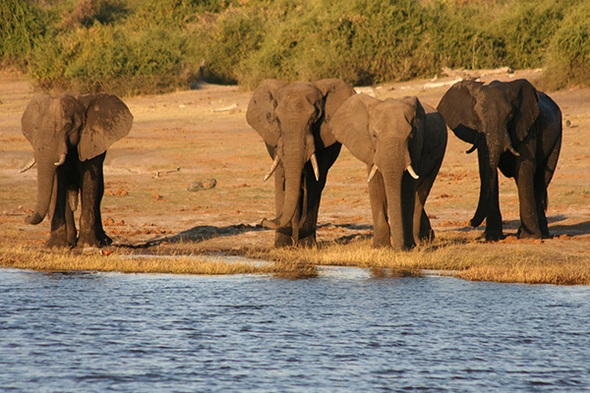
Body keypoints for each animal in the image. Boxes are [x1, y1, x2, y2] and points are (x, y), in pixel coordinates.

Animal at [21, 92, 134, 247]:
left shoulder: (90, 142)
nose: (26, 217)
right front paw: (55, 247)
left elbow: (89, 184)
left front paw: (87, 246)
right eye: (36, 128)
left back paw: (103, 241)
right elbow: (57, 185)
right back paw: (70, 241)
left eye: (68, 126)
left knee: (98, 193)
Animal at [246, 78, 356, 247]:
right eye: (277, 119)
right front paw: (282, 246)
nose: (263, 220)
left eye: (314, 118)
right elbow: (282, 177)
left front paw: (307, 246)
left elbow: (313, 180)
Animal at [332, 93, 448, 250]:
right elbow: (376, 188)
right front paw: (380, 247)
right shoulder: (371, 151)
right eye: (374, 135)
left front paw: (408, 247)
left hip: (440, 154)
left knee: (422, 192)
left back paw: (420, 240)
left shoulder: (416, 147)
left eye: (411, 135)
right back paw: (426, 238)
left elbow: (407, 189)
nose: (398, 248)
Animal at [440, 79, 564, 239]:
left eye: (510, 115)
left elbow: (524, 169)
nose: (470, 222)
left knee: (541, 180)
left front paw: (528, 237)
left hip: (557, 136)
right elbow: (487, 169)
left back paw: (536, 235)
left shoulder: (526, 127)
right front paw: (491, 237)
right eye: (476, 117)